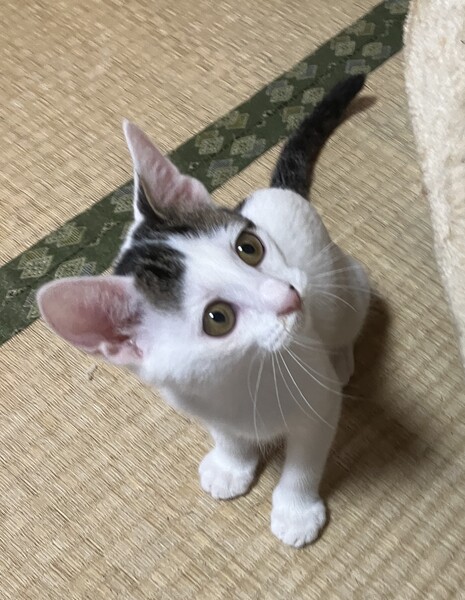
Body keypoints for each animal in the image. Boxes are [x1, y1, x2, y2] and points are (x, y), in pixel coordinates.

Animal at [37, 74, 370, 548]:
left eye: (249, 248)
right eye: (218, 318)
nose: (288, 297)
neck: (242, 375)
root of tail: (280, 191)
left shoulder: (318, 404)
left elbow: (306, 459)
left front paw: (295, 510)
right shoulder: (195, 399)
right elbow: (227, 435)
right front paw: (231, 465)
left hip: (346, 284)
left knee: (346, 319)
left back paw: (341, 358)